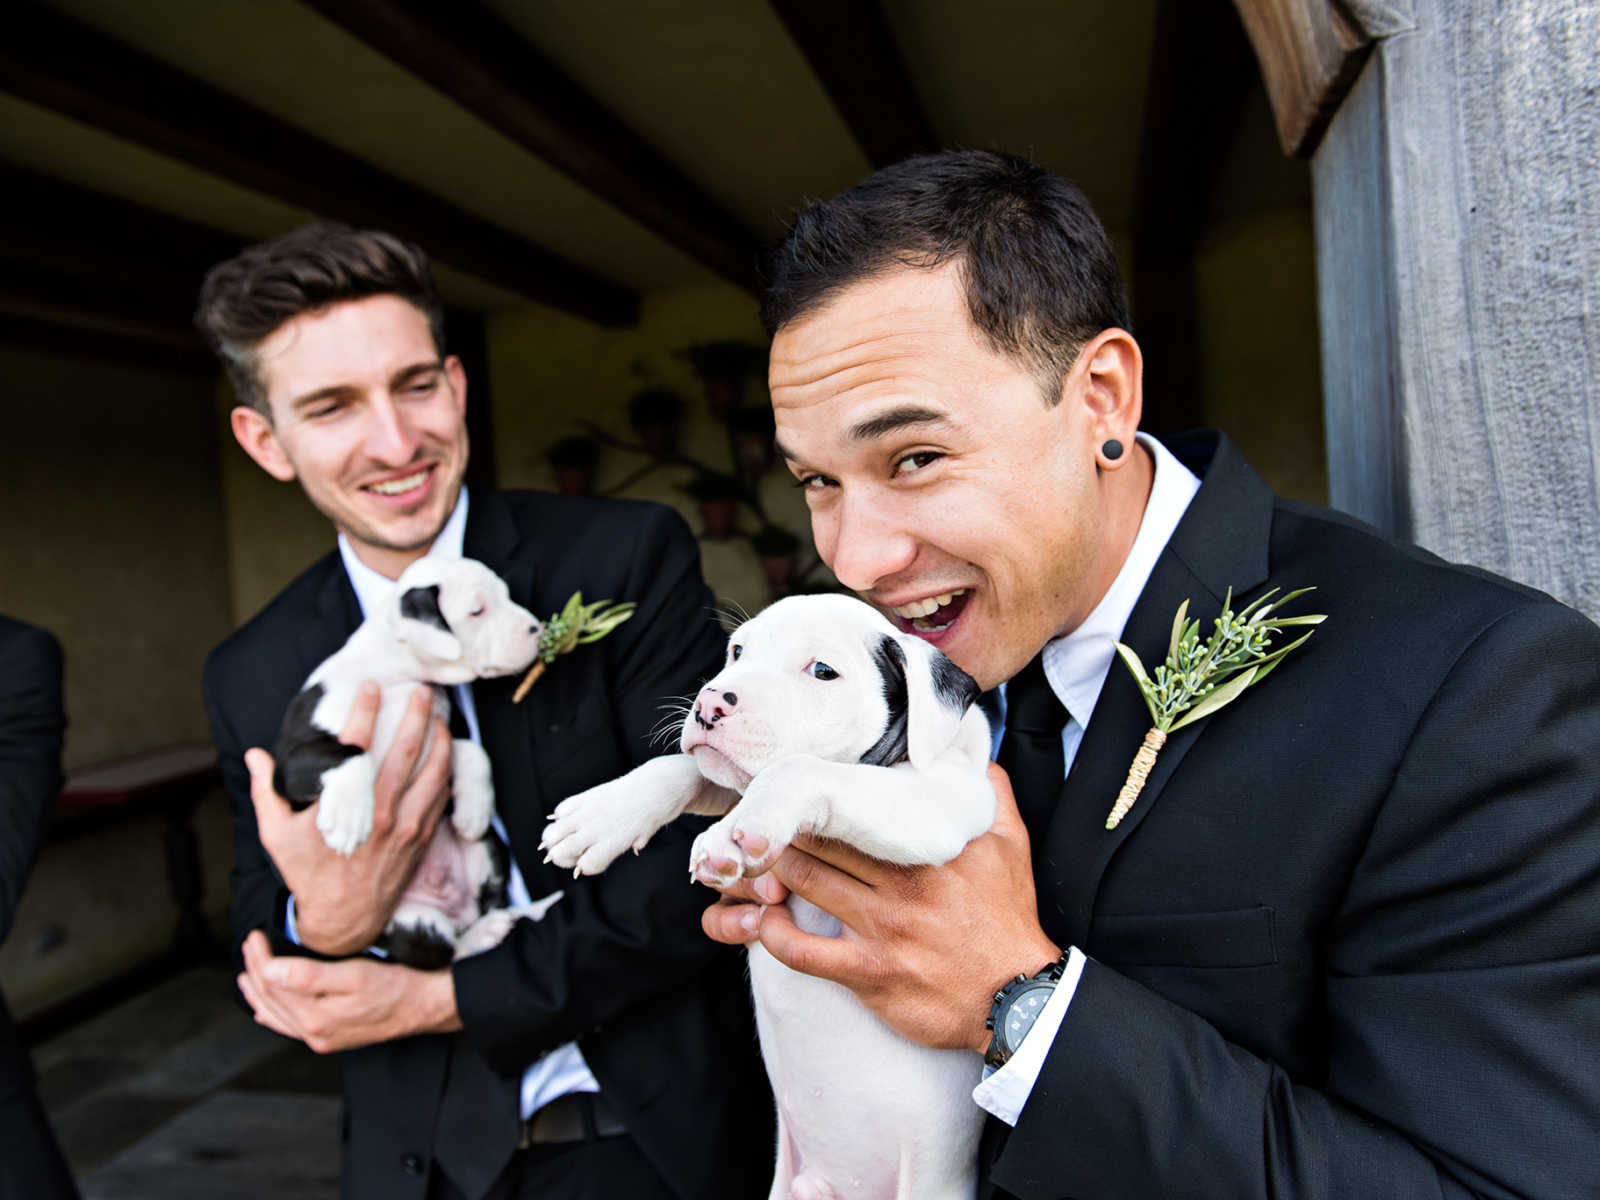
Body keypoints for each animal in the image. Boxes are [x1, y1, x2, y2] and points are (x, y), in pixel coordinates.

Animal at [280, 560, 563, 972]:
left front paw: (474, 811)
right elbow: (350, 753)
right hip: (406, 919)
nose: (536, 628)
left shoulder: (448, 728)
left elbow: (474, 752)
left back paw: (495, 923)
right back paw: (485, 931)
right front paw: (349, 818)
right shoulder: (292, 760)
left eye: (506, 594)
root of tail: (458, 911)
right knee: (440, 953)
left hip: (489, 851)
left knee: (472, 926)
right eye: (477, 610)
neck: (394, 673)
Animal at [544, 598, 992, 1200]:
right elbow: (683, 766)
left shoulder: (940, 800)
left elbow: (797, 768)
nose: (711, 701)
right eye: (737, 651)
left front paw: (735, 833)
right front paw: (601, 816)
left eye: (822, 671)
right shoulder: (721, 772)